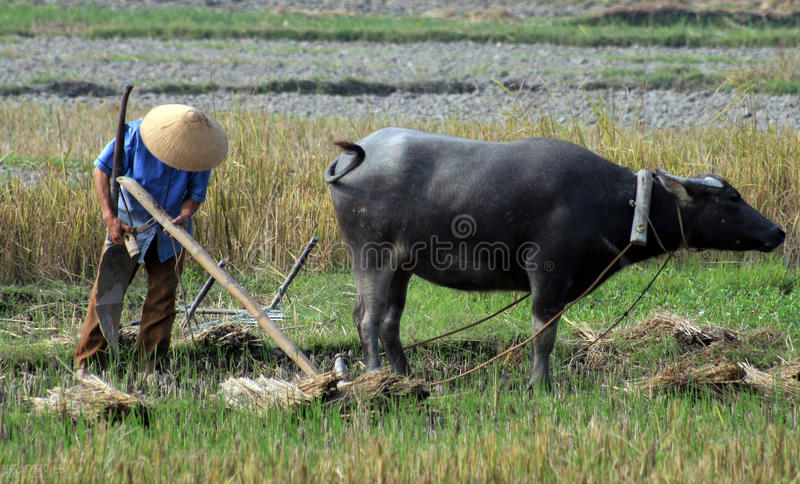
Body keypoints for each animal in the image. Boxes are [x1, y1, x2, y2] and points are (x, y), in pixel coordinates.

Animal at [322, 126, 784, 388]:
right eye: (732, 198)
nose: (777, 232)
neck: (625, 203)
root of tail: (354, 153)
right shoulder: (548, 272)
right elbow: (544, 333)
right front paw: (540, 384)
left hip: (402, 264)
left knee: (389, 320)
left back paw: (405, 375)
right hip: (369, 253)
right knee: (368, 318)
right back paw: (376, 376)